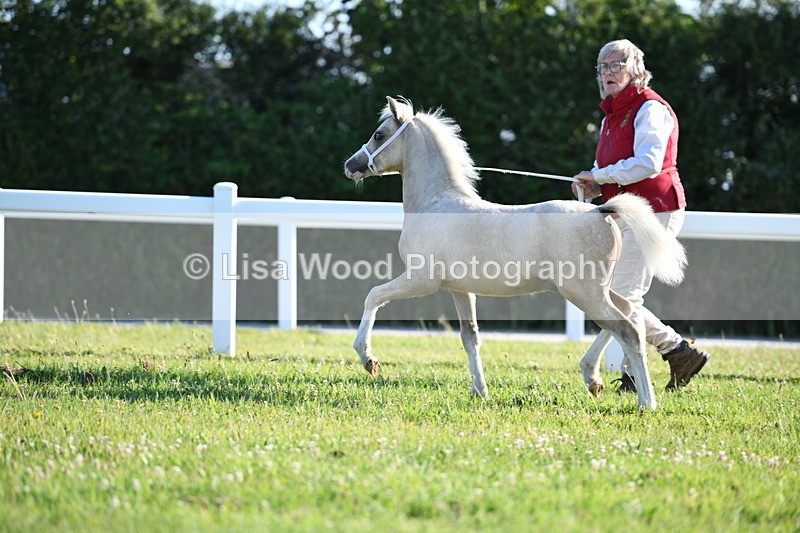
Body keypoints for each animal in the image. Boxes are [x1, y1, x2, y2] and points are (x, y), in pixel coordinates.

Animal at [343, 96, 687, 410]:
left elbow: (373, 296)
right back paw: (593, 378)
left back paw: (645, 402)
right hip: (597, 290)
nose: (350, 165)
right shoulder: (460, 291)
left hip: (585, 293)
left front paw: (368, 359)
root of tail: (600, 211)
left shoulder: (420, 280)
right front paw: (479, 391)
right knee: (630, 312)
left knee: (627, 329)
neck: (435, 204)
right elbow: (470, 337)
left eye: (379, 134)